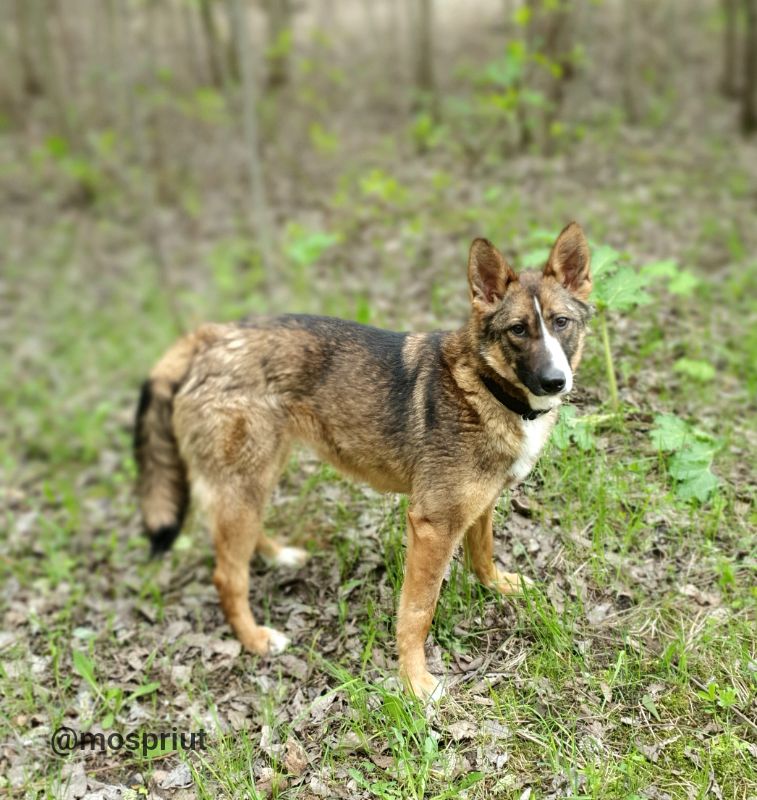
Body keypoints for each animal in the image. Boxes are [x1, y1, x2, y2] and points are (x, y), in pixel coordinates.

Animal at [133, 222, 592, 696]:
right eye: (518, 329)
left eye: (561, 323)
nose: (555, 381)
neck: (484, 386)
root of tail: (209, 336)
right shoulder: (432, 527)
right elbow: (417, 613)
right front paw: (415, 682)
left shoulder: (479, 506)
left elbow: (483, 555)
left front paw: (498, 586)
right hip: (245, 481)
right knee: (227, 576)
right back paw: (256, 639)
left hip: (256, 476)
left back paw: (278, 557)